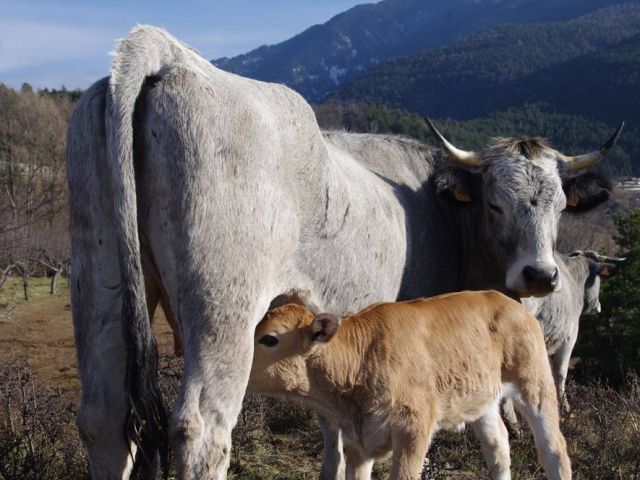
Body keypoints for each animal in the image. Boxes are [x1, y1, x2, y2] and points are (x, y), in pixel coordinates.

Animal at [249, 288, 568, 480]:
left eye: (269, 339)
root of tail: (503, 298)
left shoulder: (413, 428)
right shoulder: (357, 440)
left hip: (535, 381)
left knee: (554, 449)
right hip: (480, 399)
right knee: (498, 446)